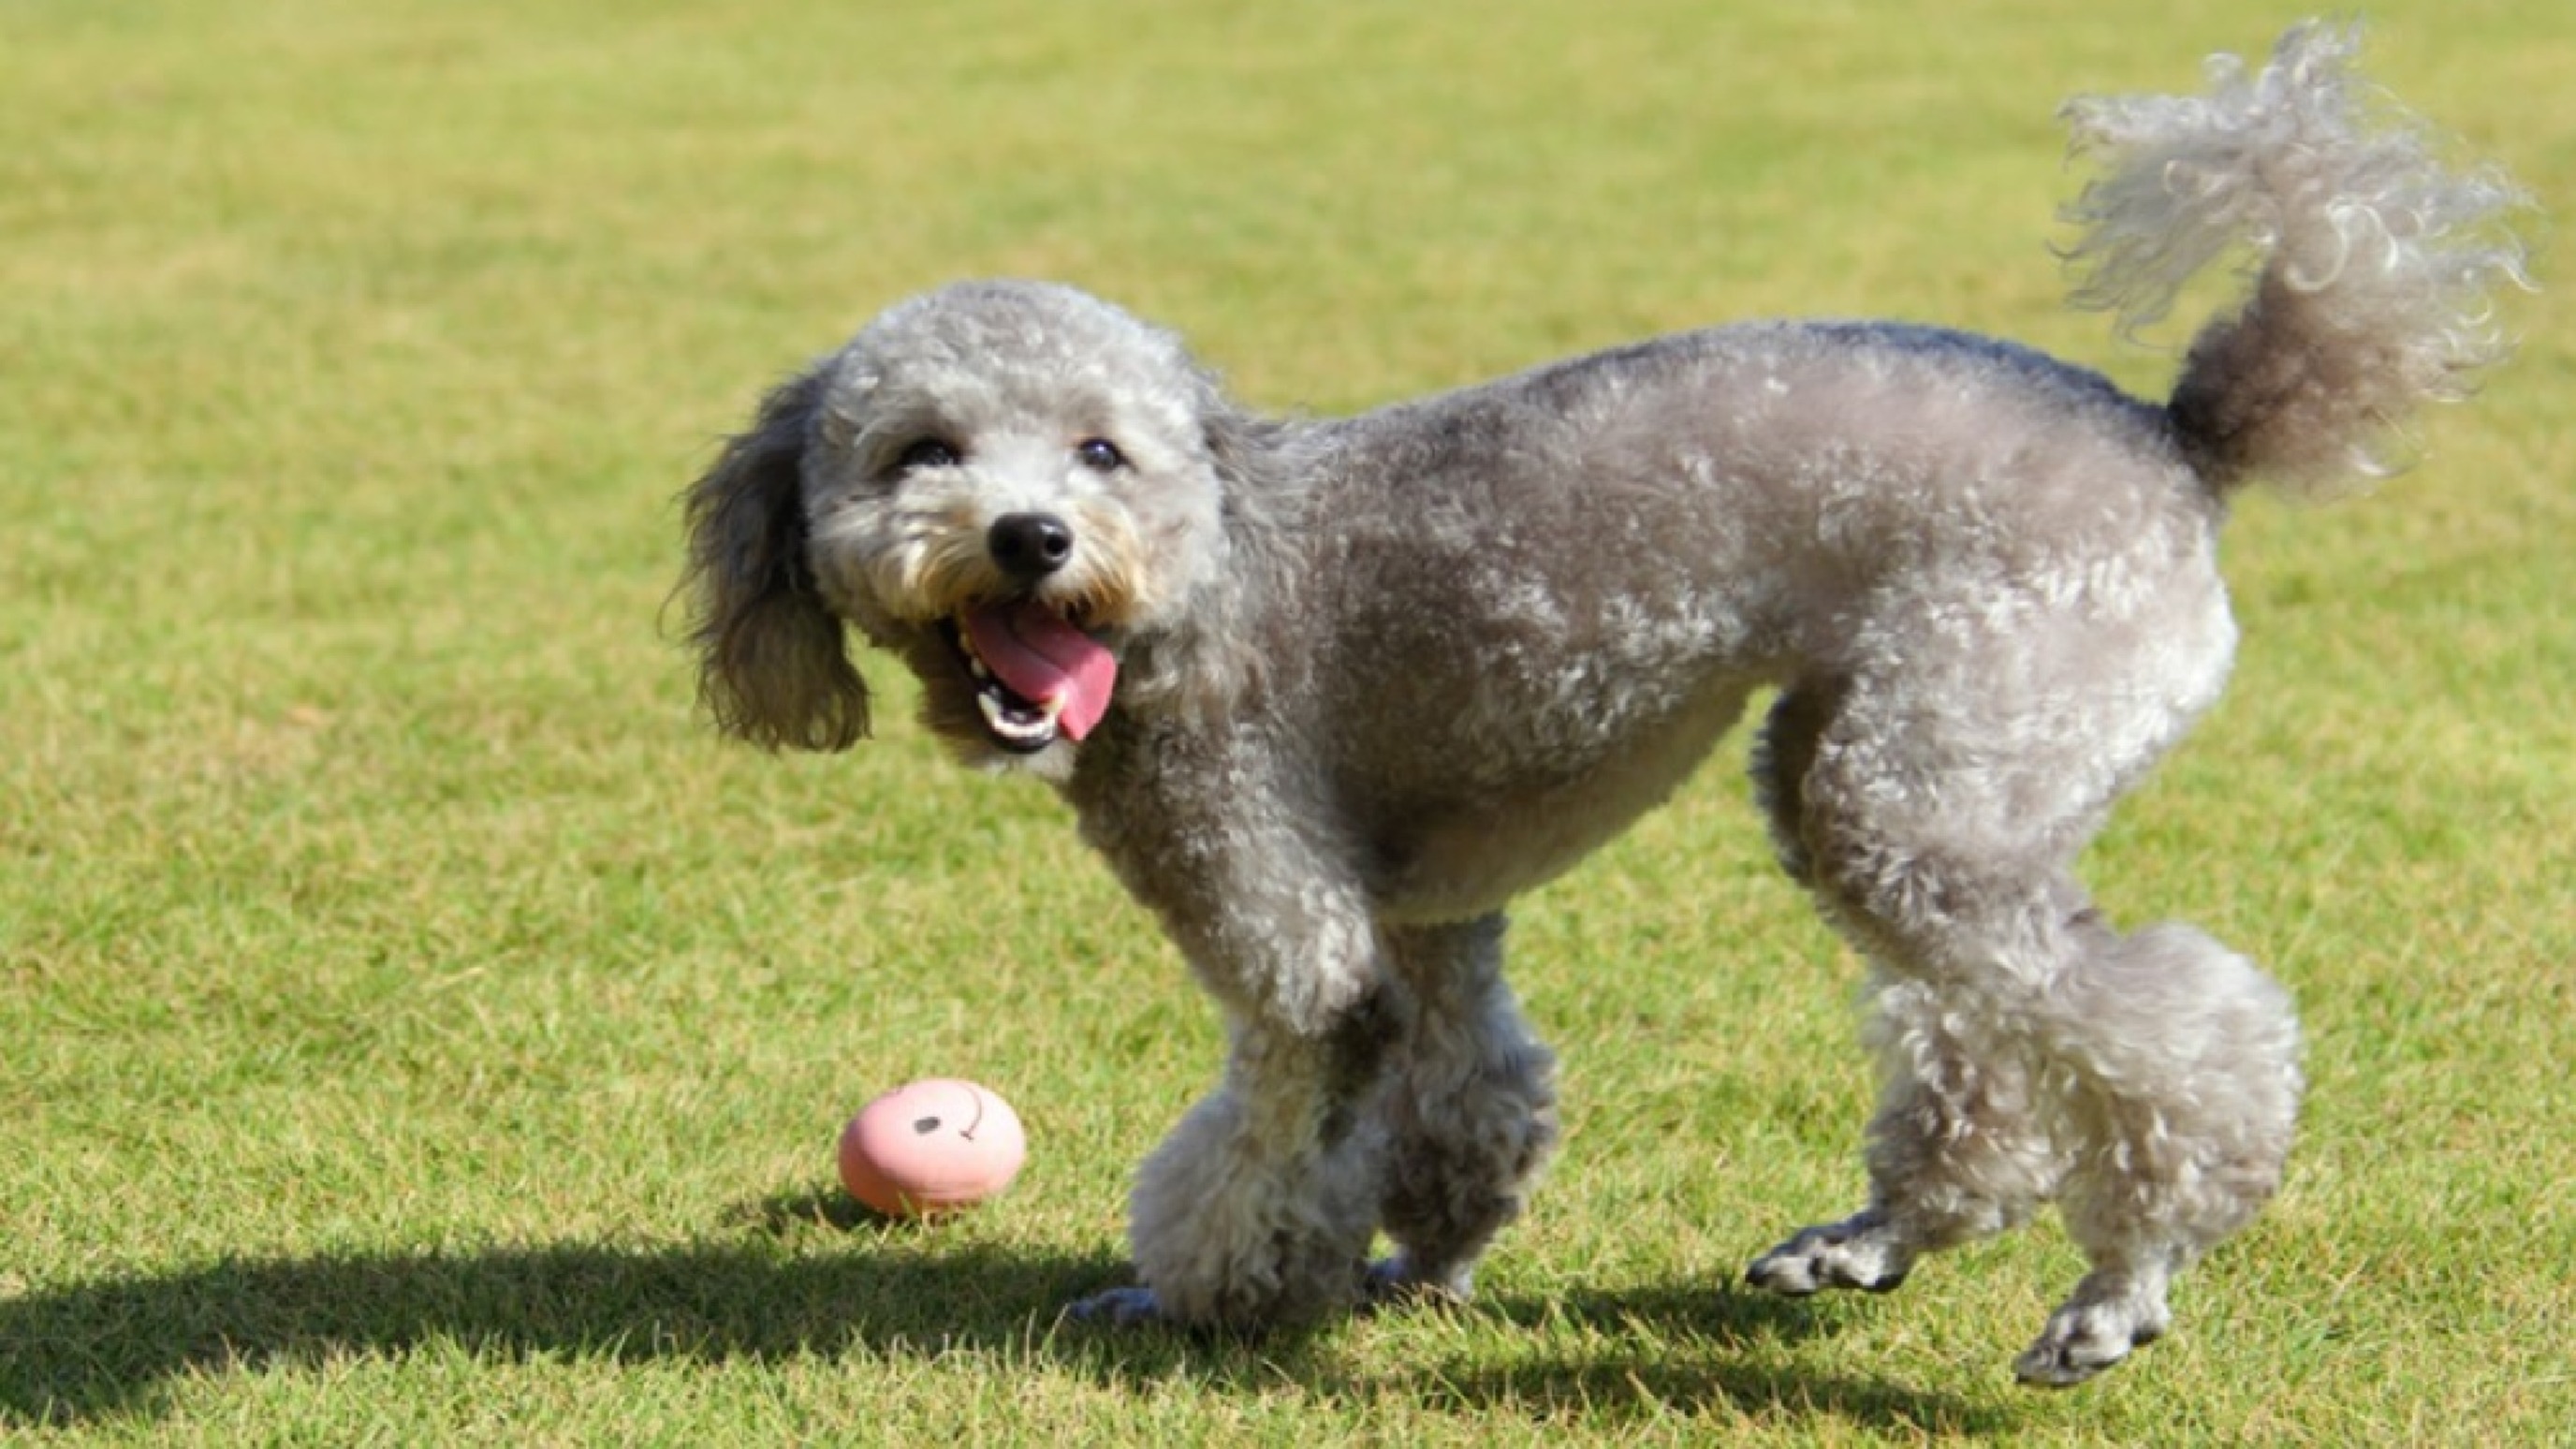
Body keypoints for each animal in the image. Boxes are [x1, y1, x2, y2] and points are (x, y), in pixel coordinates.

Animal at [675, 22, 2524, 1371]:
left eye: (1100, 454)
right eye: (920, 454)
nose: (1029, 536)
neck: (1200, 574)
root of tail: (2183, 434)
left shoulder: (1289, 926)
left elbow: (1272, 1127)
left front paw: (1205, 1296)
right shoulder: (1427, 916)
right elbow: (1461, 1090)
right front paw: (1424, 1255)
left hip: (1930, 772)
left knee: (2178, 1041)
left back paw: (2120, 1287)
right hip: (1895, 772)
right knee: (1990, 1040)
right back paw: (1870, 1241)